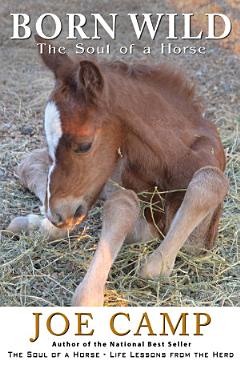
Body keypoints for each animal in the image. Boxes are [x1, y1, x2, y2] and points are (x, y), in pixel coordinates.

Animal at [7, 37, 229, 306]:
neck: (172, 158)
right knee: (29, 164)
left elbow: (210, 180)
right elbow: (124, 205)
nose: (57, 215)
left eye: (84, 145)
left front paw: (157, 266)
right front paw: (89, 295)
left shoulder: (200, 242)